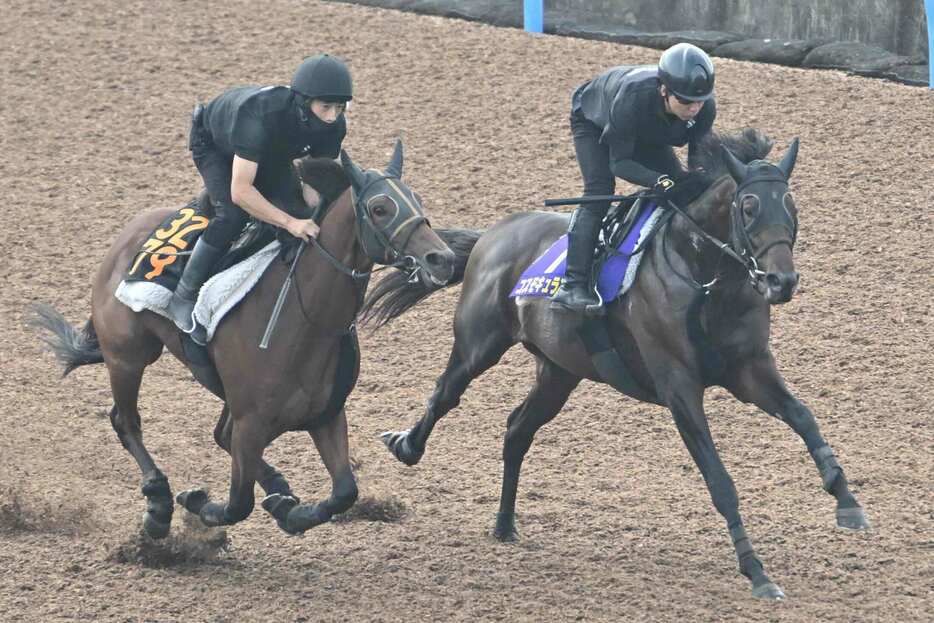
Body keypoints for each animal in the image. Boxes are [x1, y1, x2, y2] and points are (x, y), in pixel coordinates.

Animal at [35, 139, 458, 540]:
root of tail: (126, 236)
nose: (443, 258)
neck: (306, 320)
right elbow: (238, 503)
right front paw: (199, 501)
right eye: (380, 208)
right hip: (127, 356)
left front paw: (291, 510)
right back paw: (158, 505)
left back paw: (277, 489)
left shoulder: (325, 415)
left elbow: (344, 492)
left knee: (217, 434)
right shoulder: (250, 423)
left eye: (417, 200)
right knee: (126, 421)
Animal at [364, 130, 872, 600]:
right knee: (446, 392)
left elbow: (804, 417)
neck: (705, 277)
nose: (781, 281)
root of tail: (493, 233)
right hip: (479, 344)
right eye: (747, 207)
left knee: (517, 428)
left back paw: (505, 524)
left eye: (789, 204)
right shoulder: (679, 387)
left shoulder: (750, 371)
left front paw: (847, 501)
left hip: (560, 370)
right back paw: (406, 445)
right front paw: (756, 571)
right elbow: (720, 480)